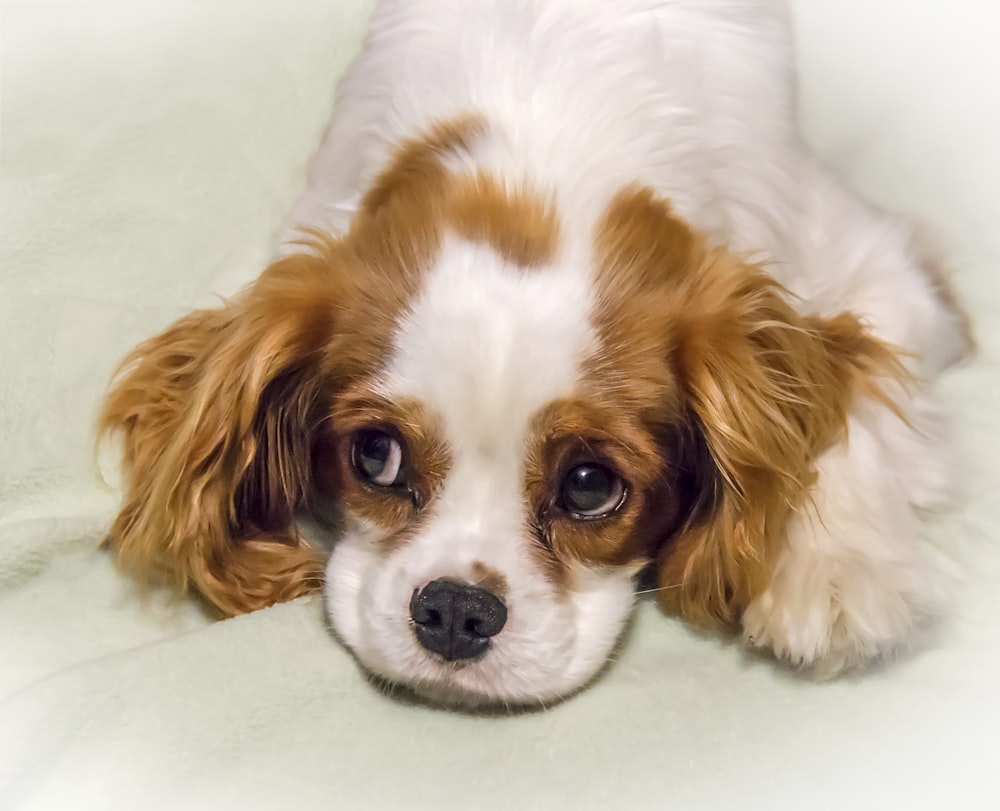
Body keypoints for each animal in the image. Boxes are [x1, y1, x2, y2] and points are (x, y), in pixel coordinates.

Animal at [99, 0, 968, 708]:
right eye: (374, 454)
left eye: (590, 485)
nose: (456, 609)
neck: (535, 158)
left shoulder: (872, 260)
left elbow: (856, 370)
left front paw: (838, 567)